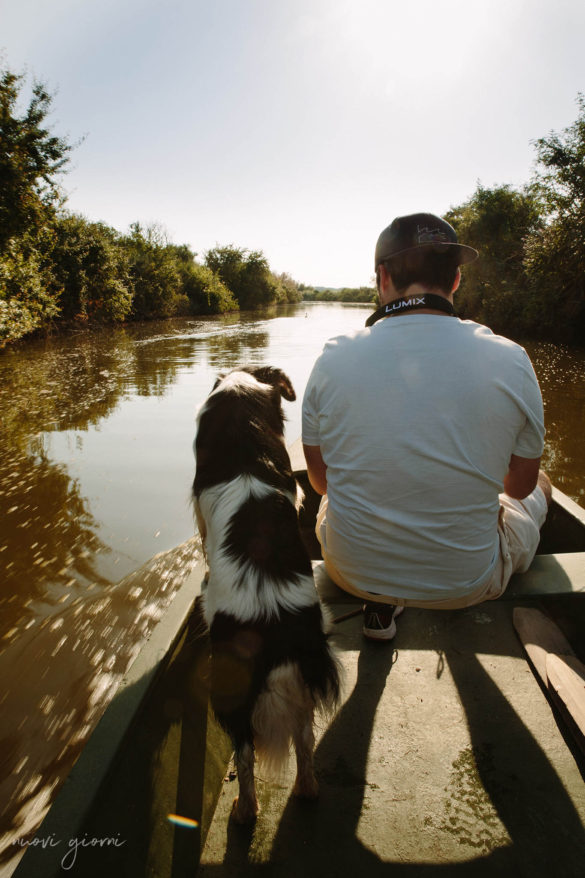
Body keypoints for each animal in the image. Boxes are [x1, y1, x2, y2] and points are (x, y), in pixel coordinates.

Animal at [193, 364, 338, 824]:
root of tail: (271, 621)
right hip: (307, 671)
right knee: (305, 737)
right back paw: (307, 790)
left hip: (231, 684)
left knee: (244, 751)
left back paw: (244, 811)